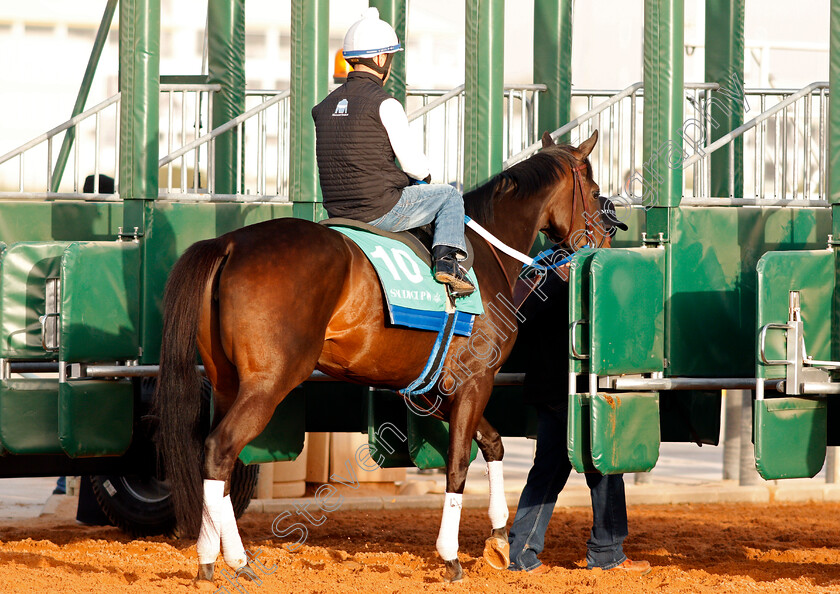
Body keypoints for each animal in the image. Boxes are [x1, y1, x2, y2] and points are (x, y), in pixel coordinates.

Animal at [153, 128, 612, 584]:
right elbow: (458, 464)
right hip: (268, 384)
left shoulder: (434, 391)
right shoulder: (474, 381)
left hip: (226, 383)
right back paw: (224, 559)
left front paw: (499, 537)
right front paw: (450, 556)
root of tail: (228, 242)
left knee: (220, 462)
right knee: (220, 449)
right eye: (594, 190)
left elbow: (493, 443)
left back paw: (224, 559)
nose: (606, 241)